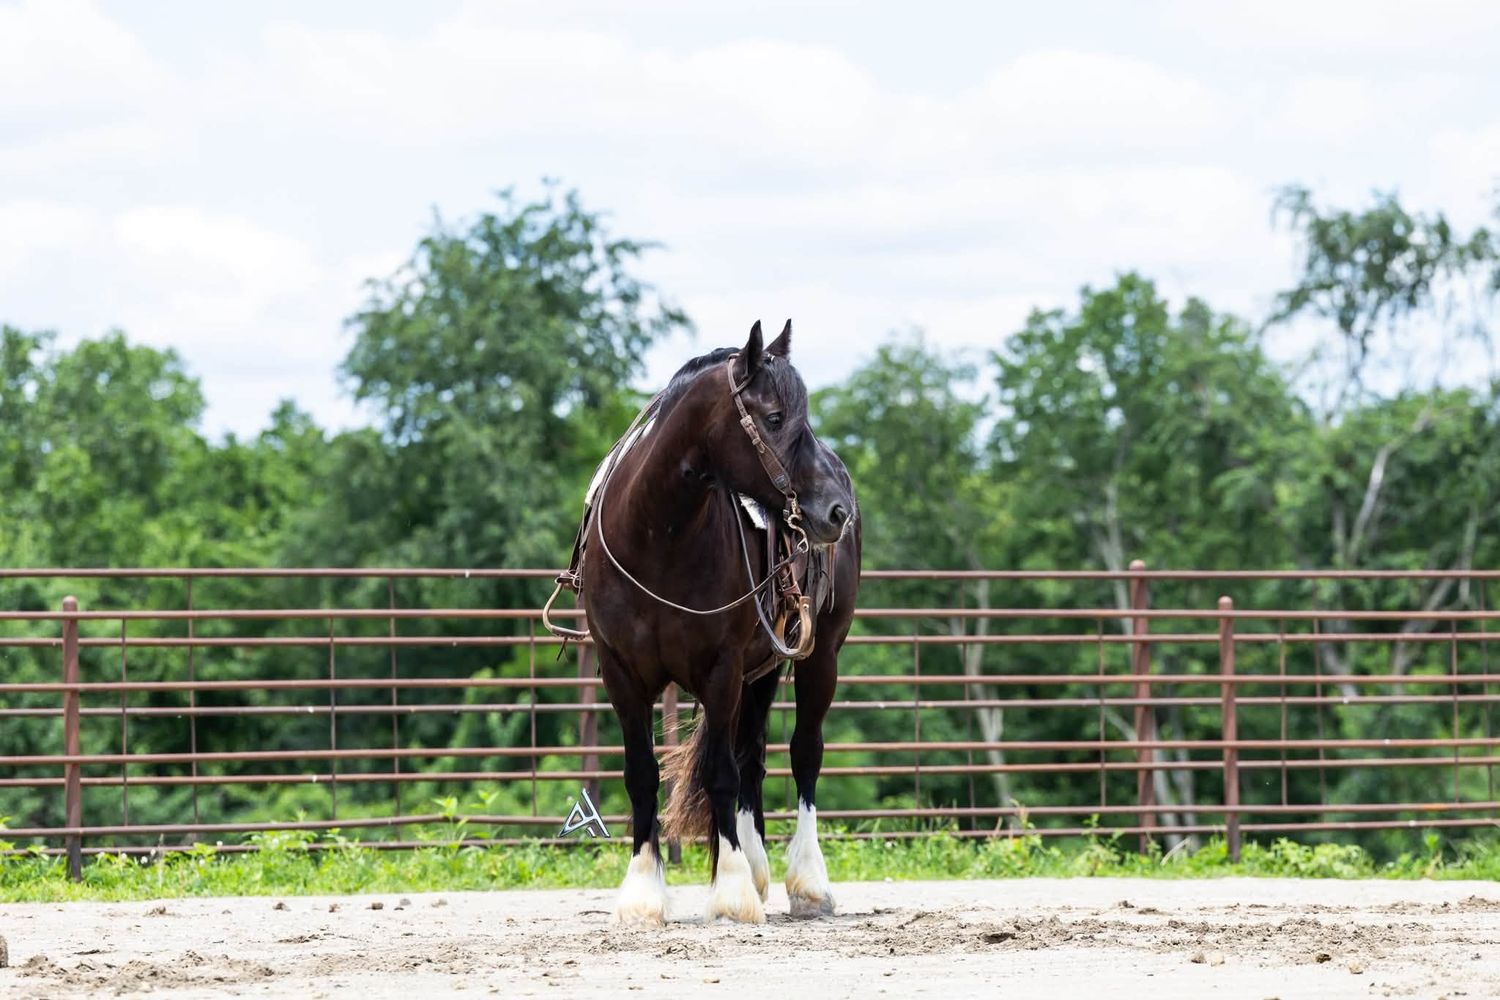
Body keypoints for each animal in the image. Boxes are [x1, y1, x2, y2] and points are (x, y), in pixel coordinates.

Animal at [552, 319, 860, 925]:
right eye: (774, 418)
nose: (837, 509)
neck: (658, 533)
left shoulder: (720, 669)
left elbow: (720, 771)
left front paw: (733, 892)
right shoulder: (621, 673)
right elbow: (643, 775)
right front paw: (644, 892)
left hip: (821, 655)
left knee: (803, 753)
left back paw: (806, 883)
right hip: (762, 668)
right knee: (753, 758)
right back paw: (758, 867)